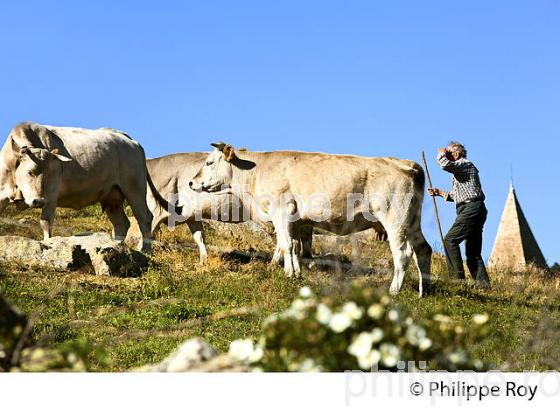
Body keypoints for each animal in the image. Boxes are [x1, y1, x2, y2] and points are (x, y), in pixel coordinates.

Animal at [0, 120, 177, 251]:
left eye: (50, 173)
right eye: (30, 171)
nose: (38, 201)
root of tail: (129, 140)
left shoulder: (51, 194)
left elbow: (46, 221)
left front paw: (48, 244)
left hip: (135, 188)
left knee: (144, 217)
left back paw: (145, 250)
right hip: (112, 196)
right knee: (121, 223)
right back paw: (117, 246)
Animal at [190, 143, 430, 294]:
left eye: (209, 162)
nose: (192, 182)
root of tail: (405, 163)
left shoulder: (281, 210)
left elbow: (285, 245)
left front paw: (288, 274)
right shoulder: (296, 220)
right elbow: (294, 247)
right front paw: (296, 273)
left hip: (394, 217)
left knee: (403, 253)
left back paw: (394, 291)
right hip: (412, 221)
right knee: (423, 250)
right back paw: (424, 291)